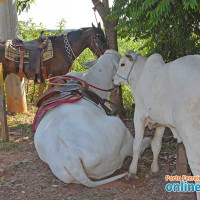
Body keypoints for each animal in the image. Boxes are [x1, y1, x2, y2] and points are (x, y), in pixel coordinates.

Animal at [114, 50, 200, 198]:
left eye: (122, 64)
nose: (114, 79)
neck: (140, 74)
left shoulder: (139, 115)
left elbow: (137, 145)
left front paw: (131, 171)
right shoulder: (161, 122)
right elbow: (156, 145)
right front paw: (154, 168)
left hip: (191, 133)